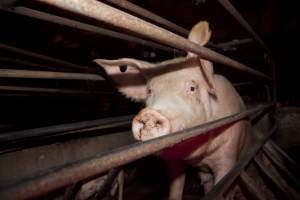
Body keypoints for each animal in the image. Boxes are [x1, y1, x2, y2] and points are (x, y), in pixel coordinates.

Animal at [95, 21, 247, 199]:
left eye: (192, 88)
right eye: (149, 91)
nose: (150, 114)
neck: (200, 156)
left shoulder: (228, 157)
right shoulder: (174, 163)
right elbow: (175, 188)